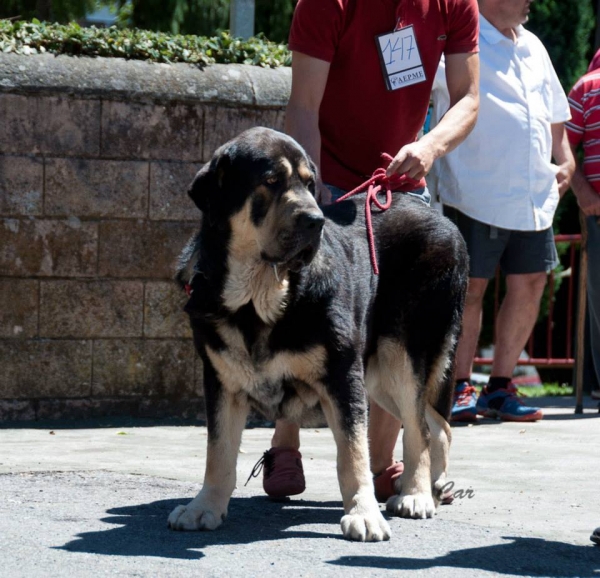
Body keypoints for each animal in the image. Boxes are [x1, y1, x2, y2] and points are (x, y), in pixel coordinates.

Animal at [169, 126, 468, 540]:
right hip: (379, 376)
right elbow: (219, 452)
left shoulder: (342, 378)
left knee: (420, 428)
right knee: (437, 426)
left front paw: (363, 514)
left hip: (402, 355)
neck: (256, 299)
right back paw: (434, 488)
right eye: (271, 181)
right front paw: (205, 507)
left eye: (310, 184)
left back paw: (416, 495)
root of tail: (440, 218)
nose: (315, 220)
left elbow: (353, 453)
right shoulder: (221, 381)